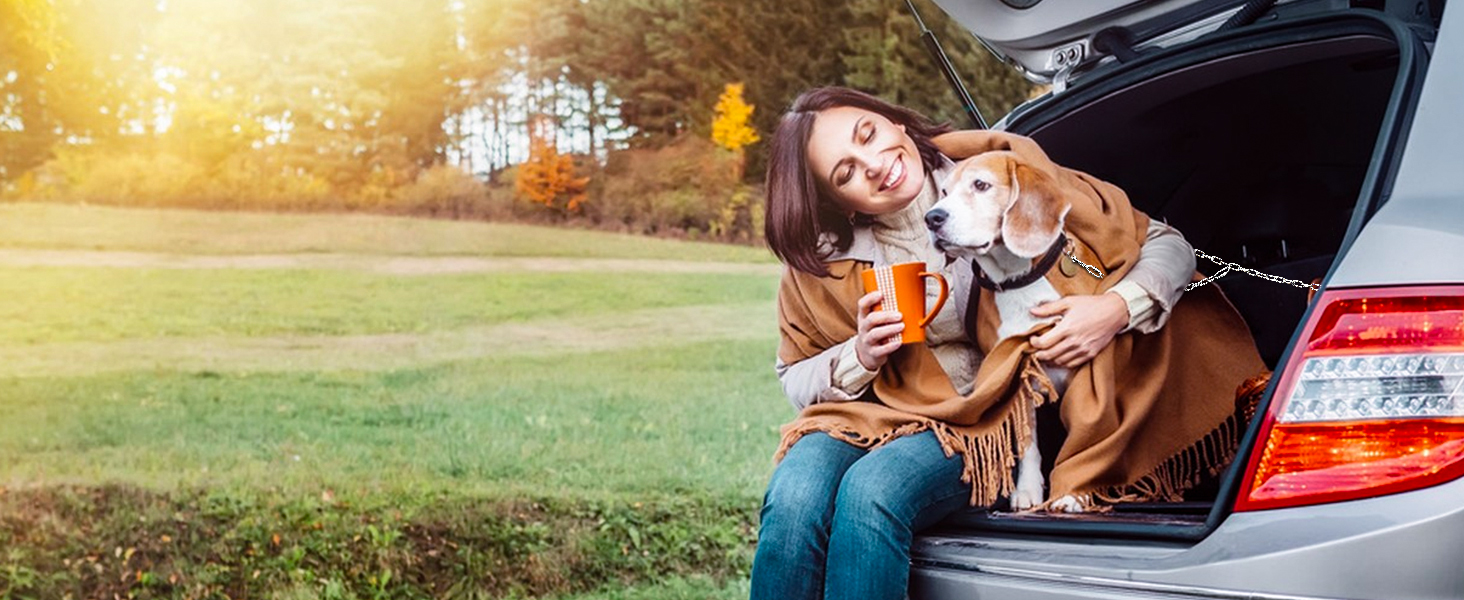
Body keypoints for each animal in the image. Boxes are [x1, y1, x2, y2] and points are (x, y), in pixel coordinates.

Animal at [925, 150, 1089, 512]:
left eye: (981, 185)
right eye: (944, 191)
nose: (932, 218)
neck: (1017, 279)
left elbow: (1091, 428)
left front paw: (1075, 491)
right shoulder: (1017, 373)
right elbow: (1027, 443)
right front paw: (1027, 490)